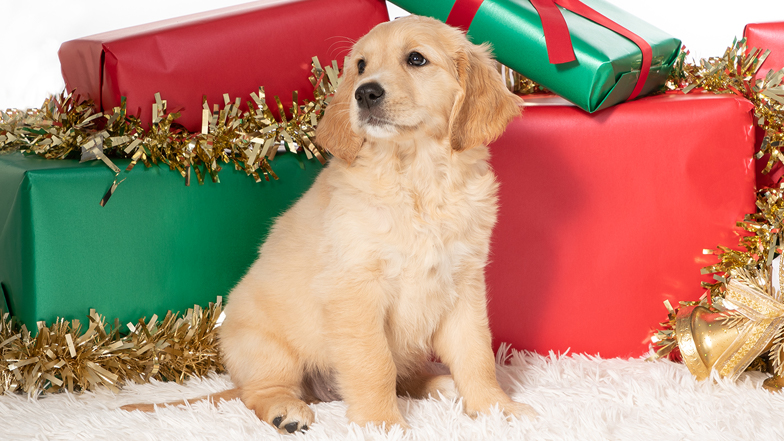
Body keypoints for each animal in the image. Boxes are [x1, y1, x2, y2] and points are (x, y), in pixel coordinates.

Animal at [123, 15, 534, 433]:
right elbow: (374, 364)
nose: (365, 94)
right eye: (361, 66)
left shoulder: (463, 283)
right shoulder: (355, 289)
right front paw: (382, 423)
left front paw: (496, 408)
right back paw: (285, 410)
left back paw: (439, 384)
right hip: (266, 348)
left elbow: (476, 354)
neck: (415, 175)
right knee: (258, 392)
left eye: (416, 59)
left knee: (406, 375)